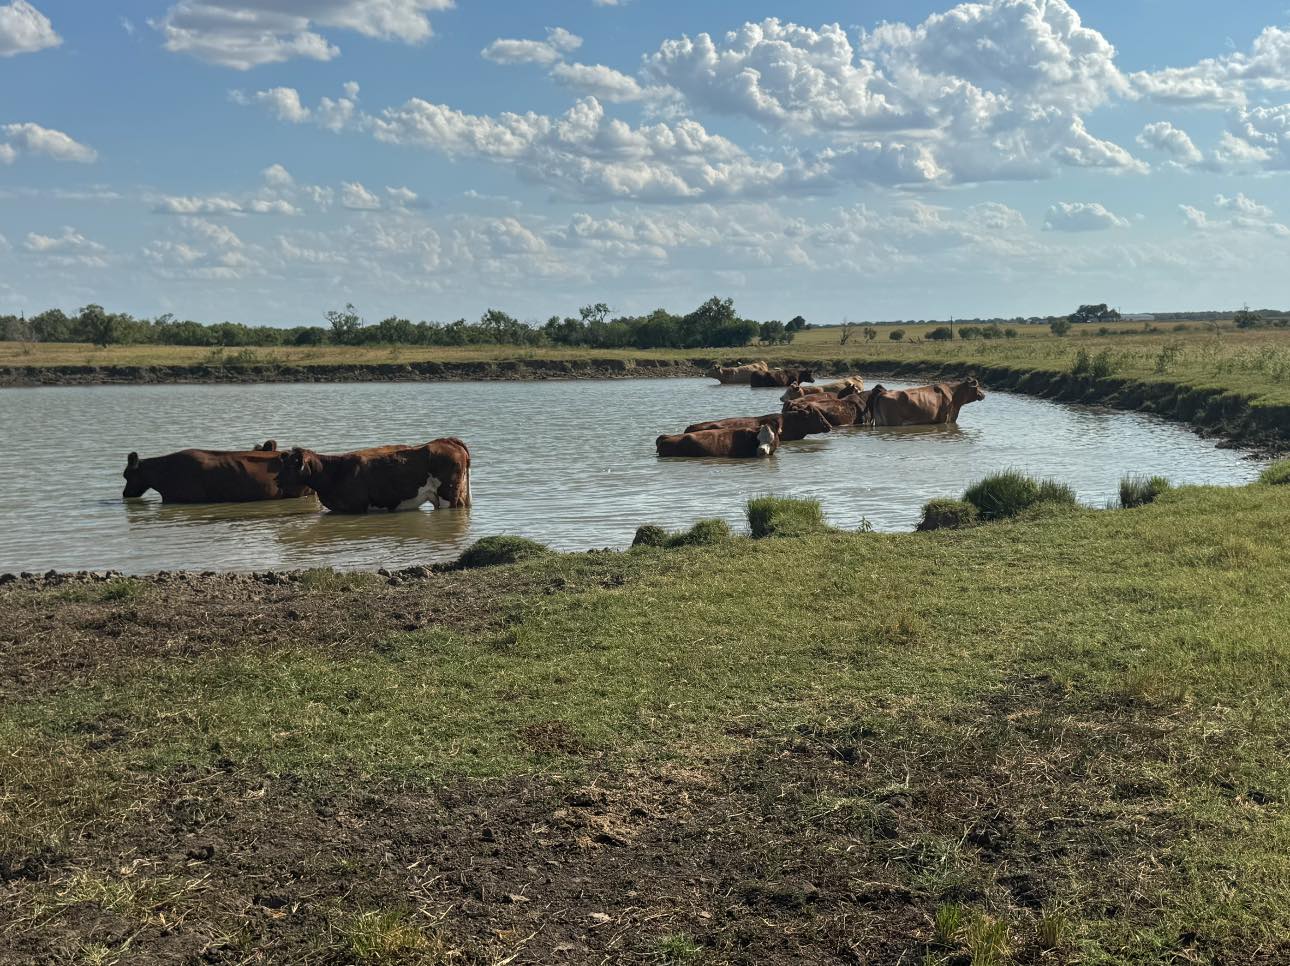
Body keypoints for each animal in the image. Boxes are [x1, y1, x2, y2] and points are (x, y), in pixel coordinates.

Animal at [275, 438, 472, 514]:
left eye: (292, 465)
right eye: (284, 463)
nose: (276, 479)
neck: (335, 472)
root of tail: (446, 440)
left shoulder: (357, 507)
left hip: (447, 495)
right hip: (458, 493)